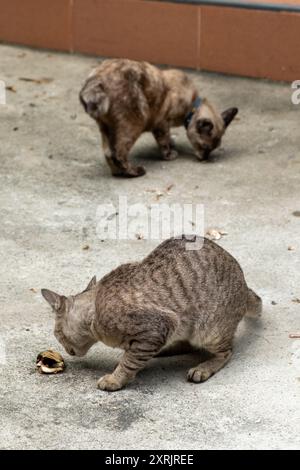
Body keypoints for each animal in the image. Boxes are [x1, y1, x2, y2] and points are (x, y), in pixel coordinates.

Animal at [41, 235, 262, 392]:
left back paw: (204, 367)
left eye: (57, 333)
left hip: (208, 331)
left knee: (226, 352)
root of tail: (245, 287)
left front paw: (115, 379)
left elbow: (129, 362)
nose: (65, 348)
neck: (95, 312)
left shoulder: (158, 327)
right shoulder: (163, 330)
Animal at [79, 58, 239, 176]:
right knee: (118, 153)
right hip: (134, 124)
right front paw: (170, 154)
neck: (191, 104)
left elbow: (168, 139)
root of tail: (95, 81)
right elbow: (164, 142)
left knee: (108, 153)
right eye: (205, 147)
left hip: (107, 128)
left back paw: (117, 173)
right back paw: (135, 172)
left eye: (213, 149)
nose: (205, 158)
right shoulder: (162, 124)